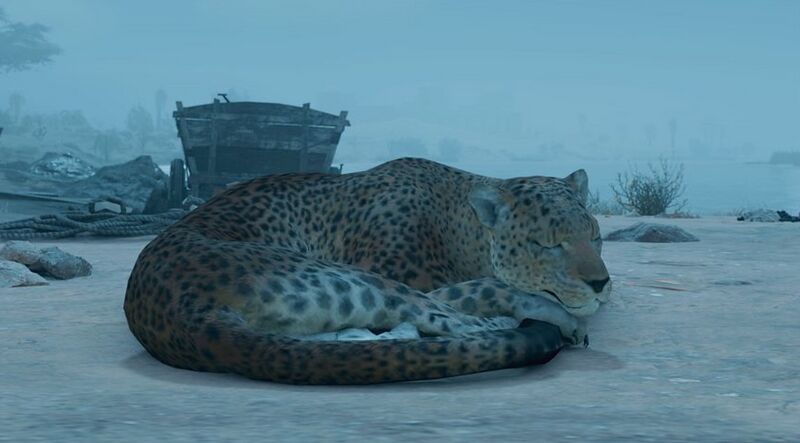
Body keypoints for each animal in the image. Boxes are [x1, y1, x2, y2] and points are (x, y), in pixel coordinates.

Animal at [124, 157, 611, 384]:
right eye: (547, 244)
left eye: (595, 235)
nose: (601, 283)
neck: (458, 219)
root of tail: (184, 317)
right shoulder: (416, 279)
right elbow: (490, 288)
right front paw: (565, 314)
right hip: (367, 283)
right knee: (455, 322)